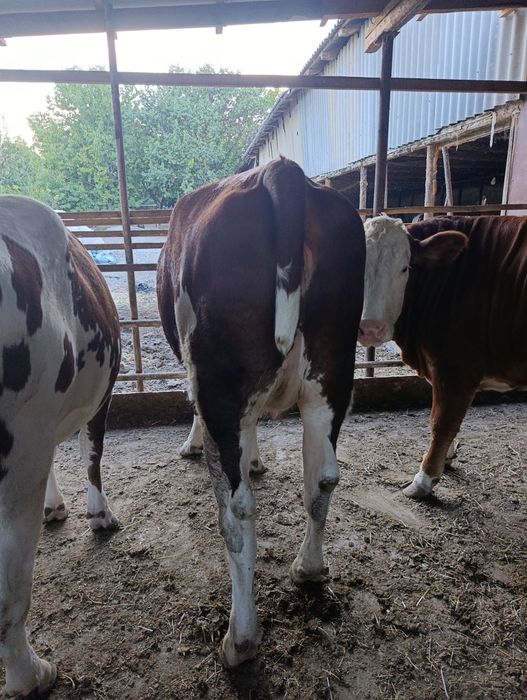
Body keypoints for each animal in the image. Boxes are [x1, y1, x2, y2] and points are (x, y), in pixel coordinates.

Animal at [157, 157, 365, 667]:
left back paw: (240, 640)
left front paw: (193, 446)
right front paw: (255, 459)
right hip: (332, 373)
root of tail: (281, 170)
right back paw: (308, 568)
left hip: (219, 380)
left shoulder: (201, 379)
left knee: (237, 510)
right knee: (323, 476)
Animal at [359, 213, 527, 498]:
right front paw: (447, 457)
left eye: (405, 269)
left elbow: (442, 421)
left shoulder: (456, 367)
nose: (370, 328)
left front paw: (424, 480)